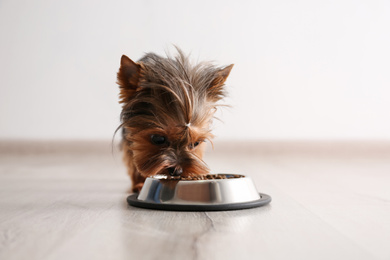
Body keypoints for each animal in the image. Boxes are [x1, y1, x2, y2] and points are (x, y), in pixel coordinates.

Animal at [116, 47, 232, 192]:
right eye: (158, 139)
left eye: (195, 144)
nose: (177, 171)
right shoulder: (130, 137)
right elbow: (134, 159)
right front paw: (140, 183)